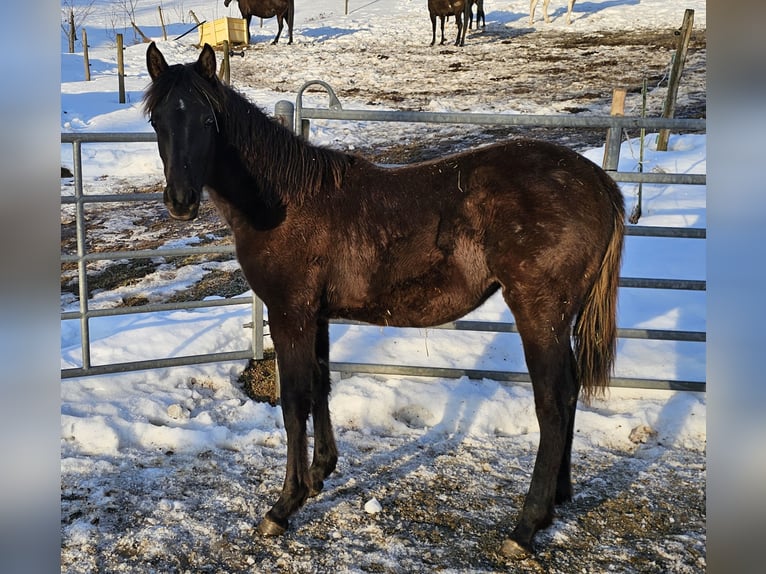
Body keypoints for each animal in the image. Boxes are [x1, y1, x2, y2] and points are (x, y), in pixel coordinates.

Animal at [144, 42, 625, 558]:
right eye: (157, 121)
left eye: (207, 120)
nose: (180, 201)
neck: (284, 202)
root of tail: (599, 183)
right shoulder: (317, 316)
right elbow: (321, 385)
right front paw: (319, 474)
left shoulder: (290, 313)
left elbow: (293, 402)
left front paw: (284, 505)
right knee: (570, 392)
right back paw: (558, 499)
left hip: (540, 313)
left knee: (553, 401)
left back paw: (526, 525)